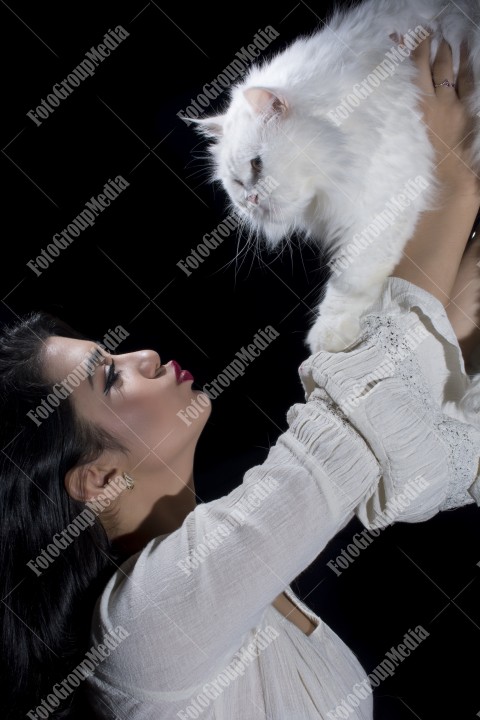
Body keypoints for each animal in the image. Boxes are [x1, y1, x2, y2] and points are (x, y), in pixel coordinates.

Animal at [191, 0, 480, 358]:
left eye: (257, 165)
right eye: (236, 184)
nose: (250, 200)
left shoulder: (381, 201)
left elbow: (350, 280)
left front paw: (330, 336)